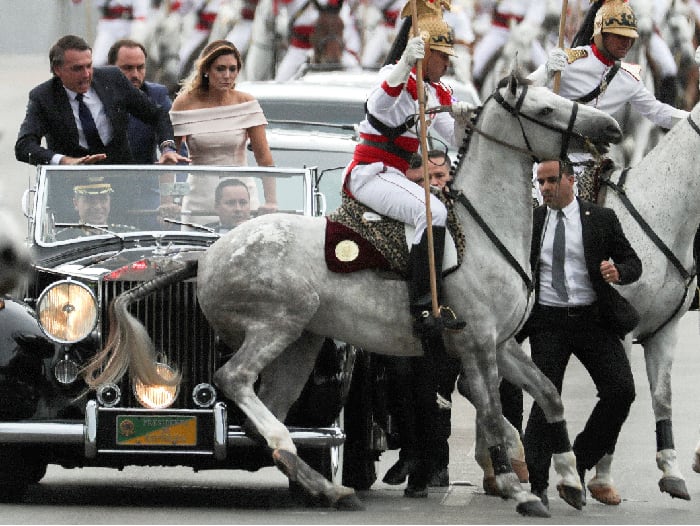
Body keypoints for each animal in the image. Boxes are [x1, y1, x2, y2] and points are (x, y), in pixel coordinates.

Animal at [85, 75, 620, 520]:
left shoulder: (502, 344)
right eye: (546, 109)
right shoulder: (476, 345)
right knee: (234, 380)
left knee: (267, 410)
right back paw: (318, 476)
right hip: (277, 324)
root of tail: (208, 254)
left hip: (301, 344)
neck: (482, 231)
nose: (611, 127)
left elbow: (547, 394)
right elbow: (491, 415)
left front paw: (570, 481)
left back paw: (325, 486)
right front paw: (519, 490)